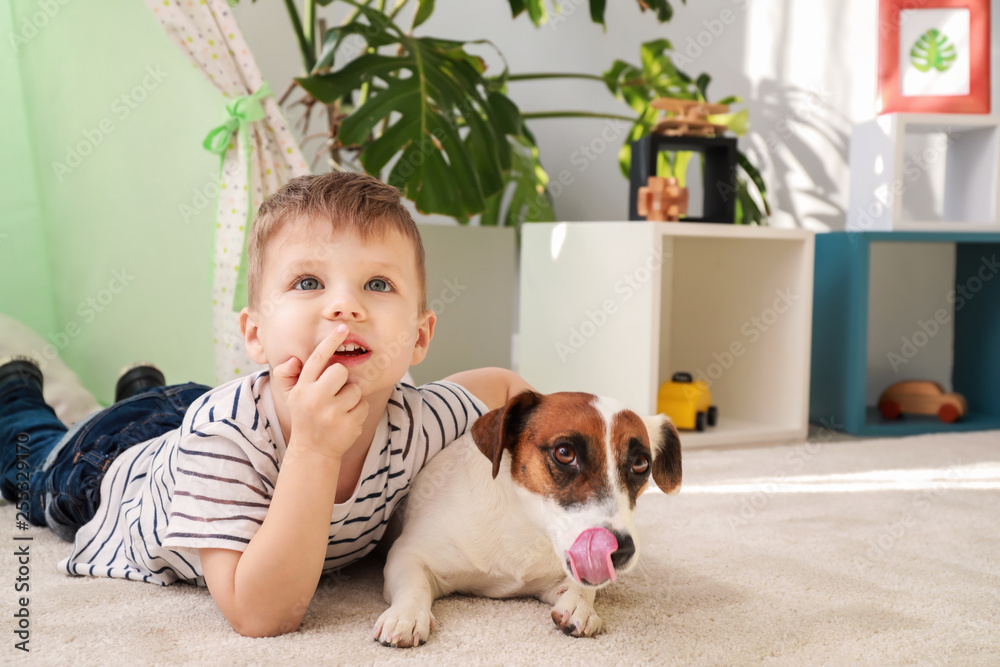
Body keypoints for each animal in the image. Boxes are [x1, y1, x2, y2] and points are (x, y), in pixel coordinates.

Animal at [372, 392, 684, 648]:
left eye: (640, 463)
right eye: (564, 453)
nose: (621, 550)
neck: (526, 525)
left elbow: (583, 588)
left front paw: (580, 606)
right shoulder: (408, 554)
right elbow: (415, 585)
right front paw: (406, 616)